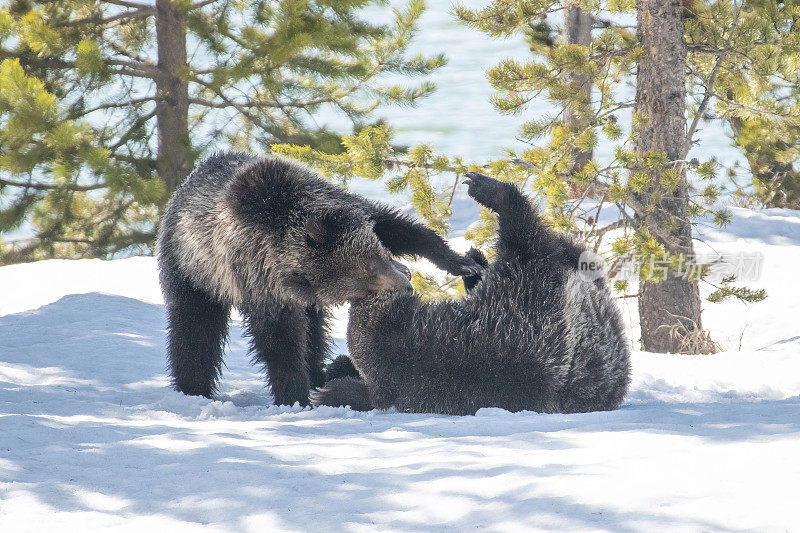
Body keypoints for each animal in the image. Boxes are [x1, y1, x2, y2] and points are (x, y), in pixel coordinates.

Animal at [158, 152, 482, 406]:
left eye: (374, 257)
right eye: (364, 276)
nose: (406, 282)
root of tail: (180, 191)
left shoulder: (337, 204)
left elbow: (397, 226)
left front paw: (459, 262)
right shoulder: (257, 280)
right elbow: (279, 342)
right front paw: (294, 395)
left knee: (314, 329)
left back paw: (317, 372)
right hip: (192, 271)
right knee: (193, 328)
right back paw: (193, 387)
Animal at [312, 172, 632, 414]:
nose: (400, 273)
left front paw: (332, 387)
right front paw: (334, 377)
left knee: (527, 238)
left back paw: (489, 193)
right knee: (541, 244)